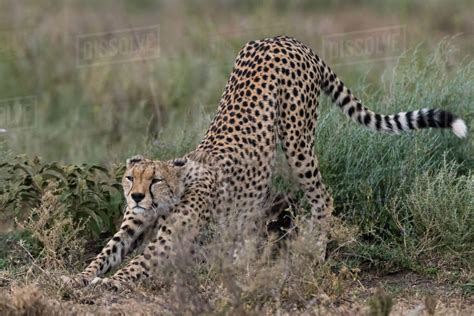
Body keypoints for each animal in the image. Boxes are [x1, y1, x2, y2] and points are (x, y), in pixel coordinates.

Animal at [70, 36, 466, 288]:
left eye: (154, 180)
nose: (136, 197)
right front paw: (77, 278)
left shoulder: (168, 242)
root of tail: (285, 39)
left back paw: (313, 255)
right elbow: (106, 254)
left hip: (296, 141)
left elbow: (135, 265)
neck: (174, 191)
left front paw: (106, 285)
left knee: (323, 197)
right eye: (130, 178)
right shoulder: (134, 226)